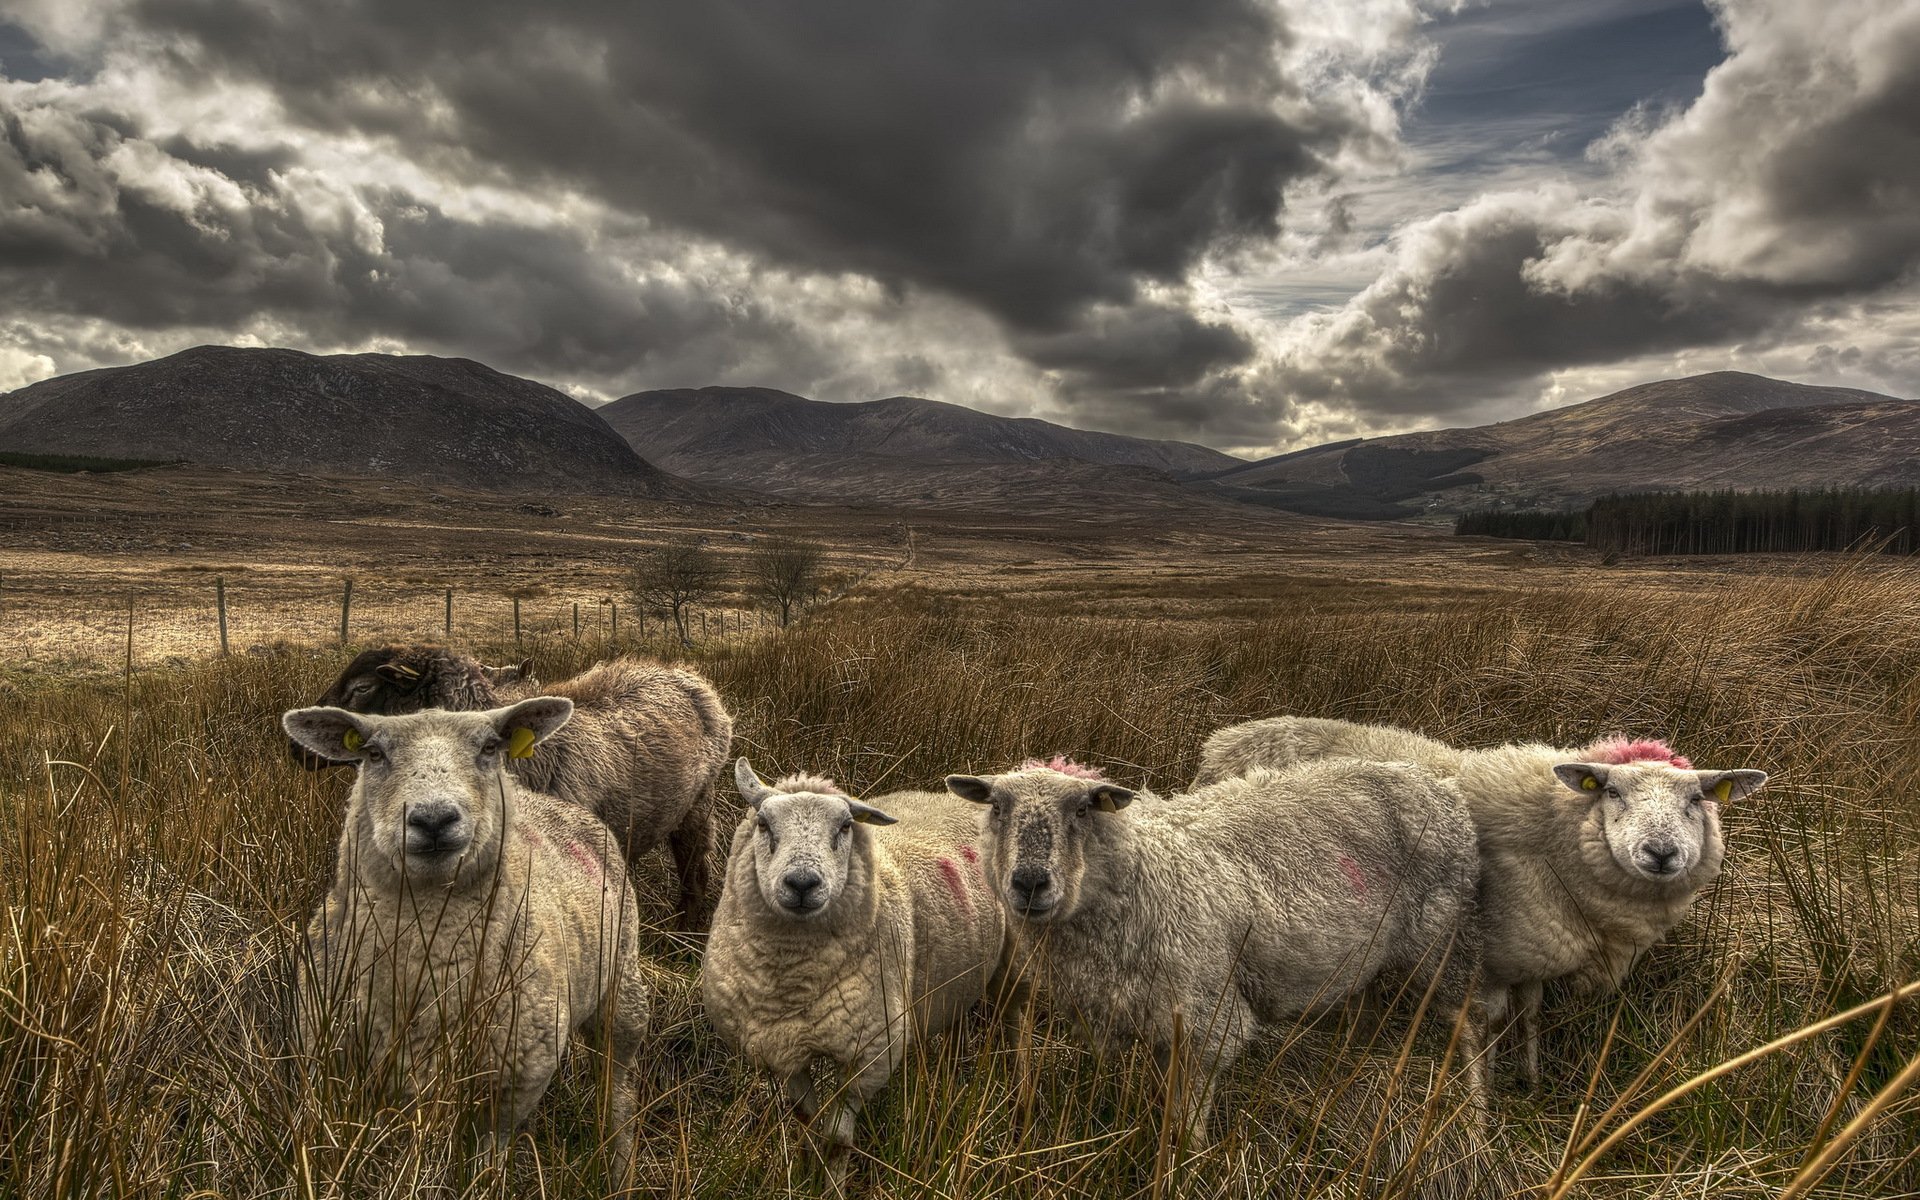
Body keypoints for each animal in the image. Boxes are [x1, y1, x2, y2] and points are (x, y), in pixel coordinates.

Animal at [280, 698, 648, 1175]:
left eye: (490, 747)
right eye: (373, 753)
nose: (433, 819)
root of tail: (553, 803)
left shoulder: (512, 1087)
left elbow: (486, 1163)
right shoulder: (332, 1066)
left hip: (624, 990)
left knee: (617, 1089)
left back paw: (619, 1169)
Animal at [702, 756, 1006, 1182]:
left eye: (845, 826)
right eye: (763, 823)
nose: (801, 883)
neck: (793, 982)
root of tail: (942, 796)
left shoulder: (870, 1055)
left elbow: (836, 1139)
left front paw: (831, 1182)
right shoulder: (781, 1048)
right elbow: (807, 1122)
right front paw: (807, 1171)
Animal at [944, 756, 1482, 1144]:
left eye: (1082, 809)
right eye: (996, 808)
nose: (1029, 882)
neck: (1140, 872)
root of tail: (1437, 784)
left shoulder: (1207, 1018)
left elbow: (1189, 1118)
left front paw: (1186, 1164)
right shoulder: (1132, 1011)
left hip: (1442, 940)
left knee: (1469, 1028)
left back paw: (1476, 1118)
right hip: (1373, 954)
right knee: (1366, 1006)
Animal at [1198, 721, 1766, 1082]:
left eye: (1697, 799)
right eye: (1612, 793)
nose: (1661, 853)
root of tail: (1225, 739)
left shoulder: (1538, 949)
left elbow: (1531, 1016)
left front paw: (1531, 1083)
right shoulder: (1485, 957)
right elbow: (1486, 1026)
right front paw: (1486, 1096)